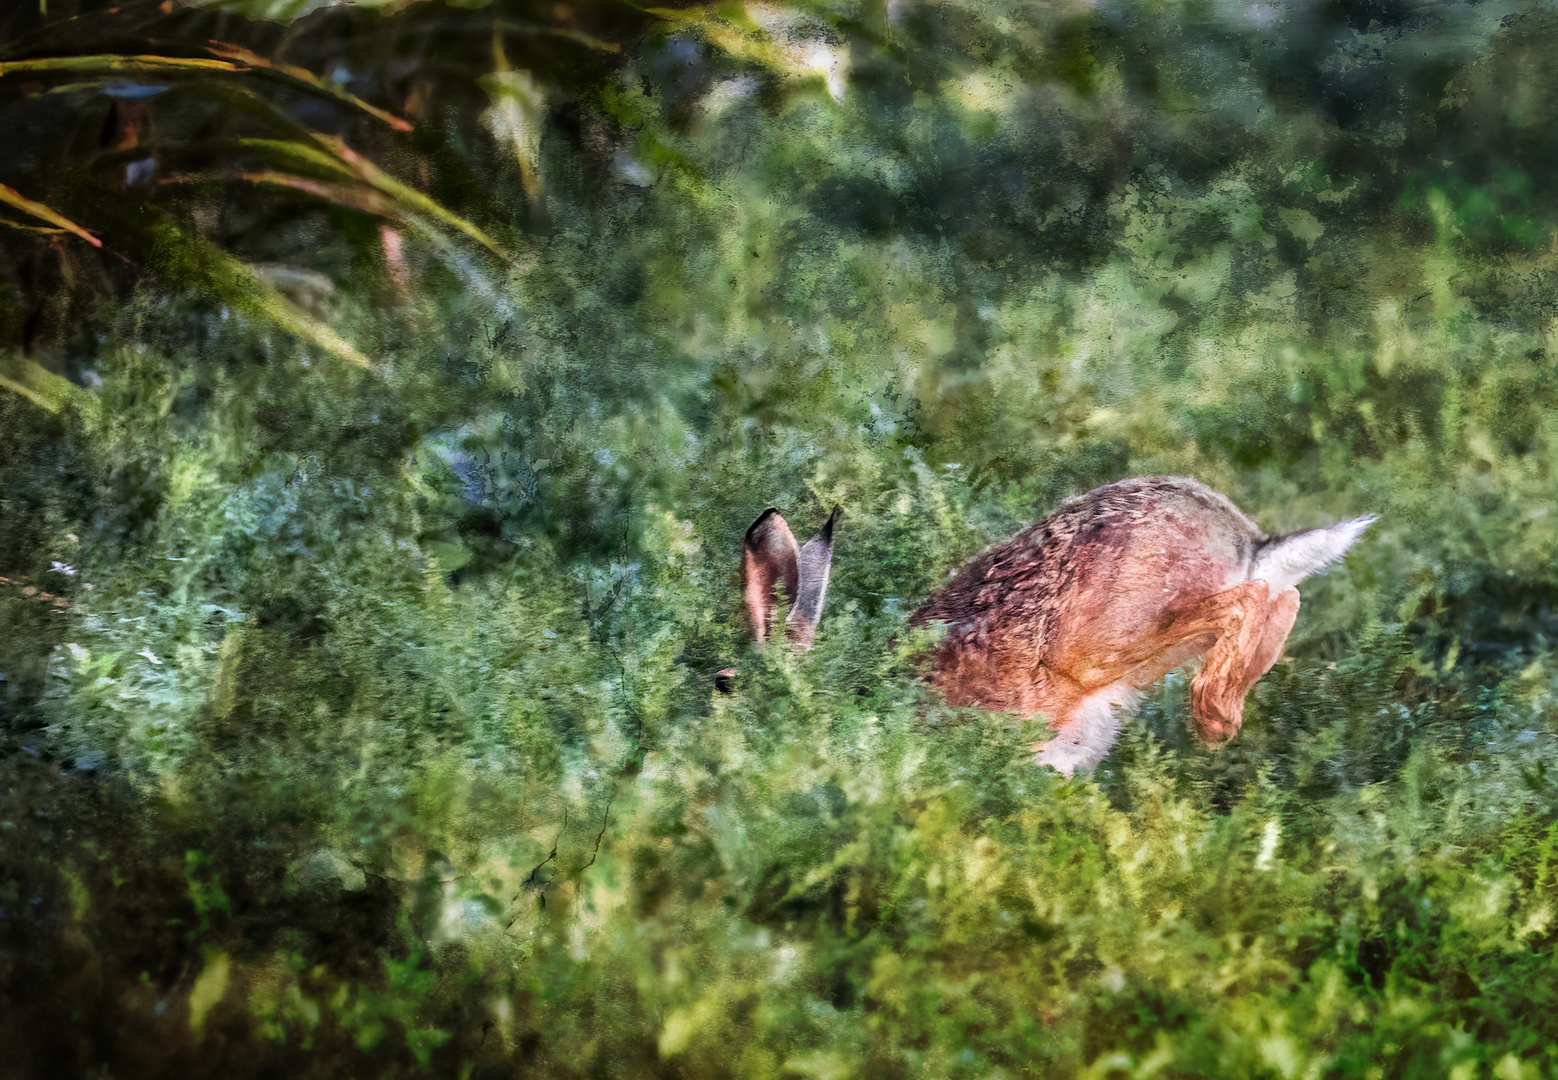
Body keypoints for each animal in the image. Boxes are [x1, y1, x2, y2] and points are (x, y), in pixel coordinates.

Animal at [735, 480, 1371, 776]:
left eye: (724, 685)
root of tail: (1244, 541)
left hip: (1103, 643)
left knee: (1251, 602)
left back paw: (1216, 713)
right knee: (1281, 598)